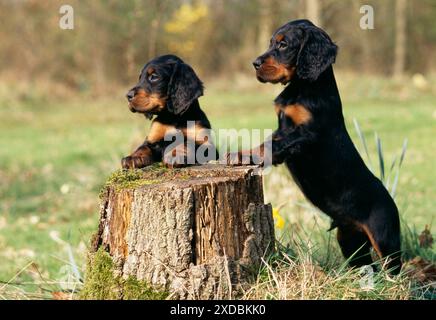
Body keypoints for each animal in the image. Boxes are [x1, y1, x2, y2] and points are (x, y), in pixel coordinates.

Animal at [232, 20, 402, 274]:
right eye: (271, 43)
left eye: (283, 44)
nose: (255, 63)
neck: (304, 87)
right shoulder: (283, 128)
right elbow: (268, 140)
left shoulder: (306, 134)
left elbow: (270, 145)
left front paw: (240, 155)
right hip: (349, 239)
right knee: (366, 265)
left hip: (384, 239)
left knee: (393, 270)